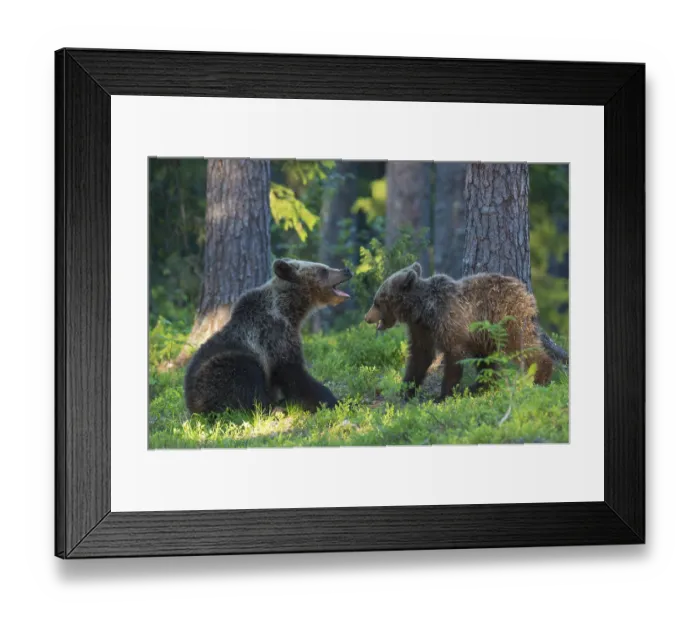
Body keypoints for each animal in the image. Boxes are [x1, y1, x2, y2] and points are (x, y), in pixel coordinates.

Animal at [184, 259, 353, 415]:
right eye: (323, 270)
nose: (346, 270)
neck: (290, 311)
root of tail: (192, 407)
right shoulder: (274, 337)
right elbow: (294, 374)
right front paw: (335, 401)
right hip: (221, 370)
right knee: (245, 379)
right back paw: (274, 409)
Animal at [364, 262, 553, 401]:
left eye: (377, 301)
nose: (366, 318)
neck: (422, 309)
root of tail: (525, 291)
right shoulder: (421, 329)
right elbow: (420, 356)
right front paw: (405, 389)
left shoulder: (448, 321)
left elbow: (454, 356)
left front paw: (443, 395)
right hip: (484, 334)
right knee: (486, 360)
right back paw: (480, 385)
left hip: (507, 318)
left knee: (523, 344)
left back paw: (541, 376)